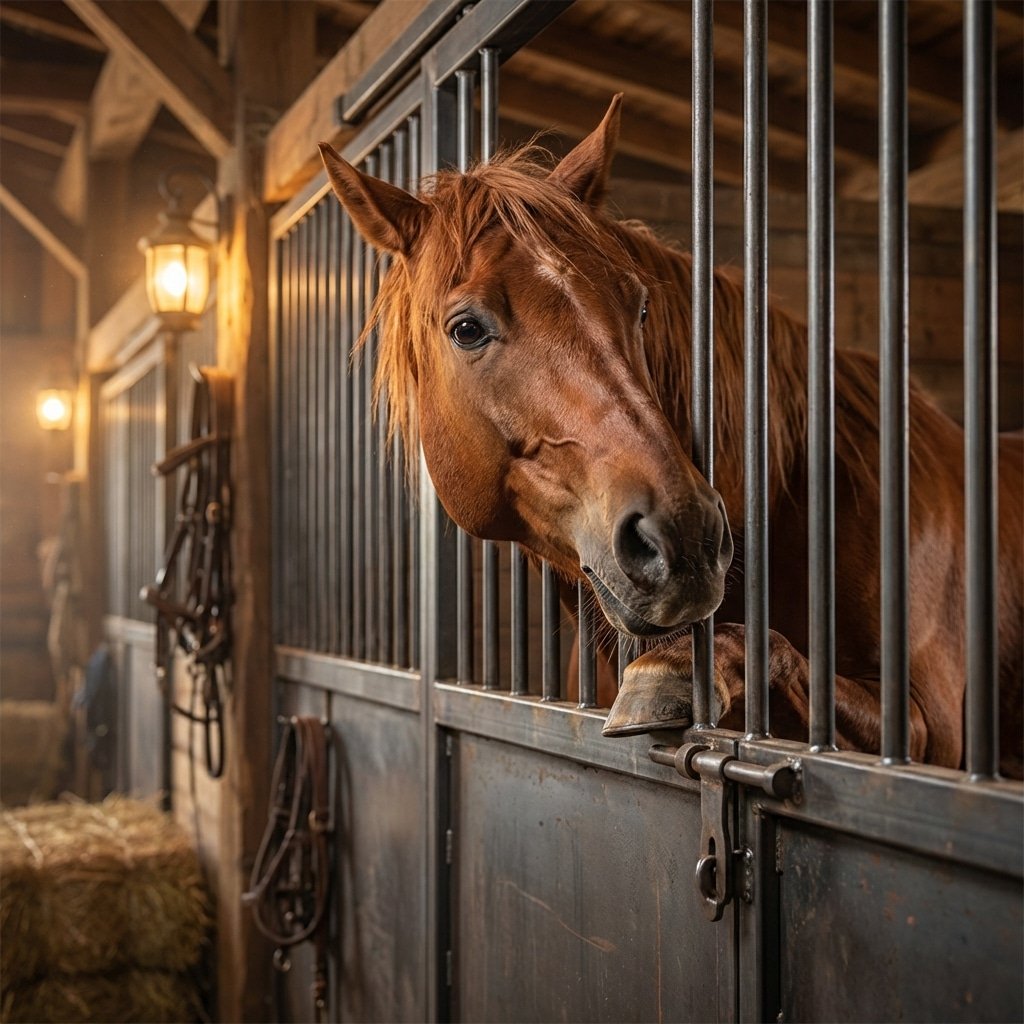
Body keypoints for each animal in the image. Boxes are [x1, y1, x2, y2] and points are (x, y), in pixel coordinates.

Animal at [319, 96, 1023, 778]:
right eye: (466, 329)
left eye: (638, 304)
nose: (685, 537)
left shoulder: (923, 727)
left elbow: (761, 648)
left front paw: (674, 672)